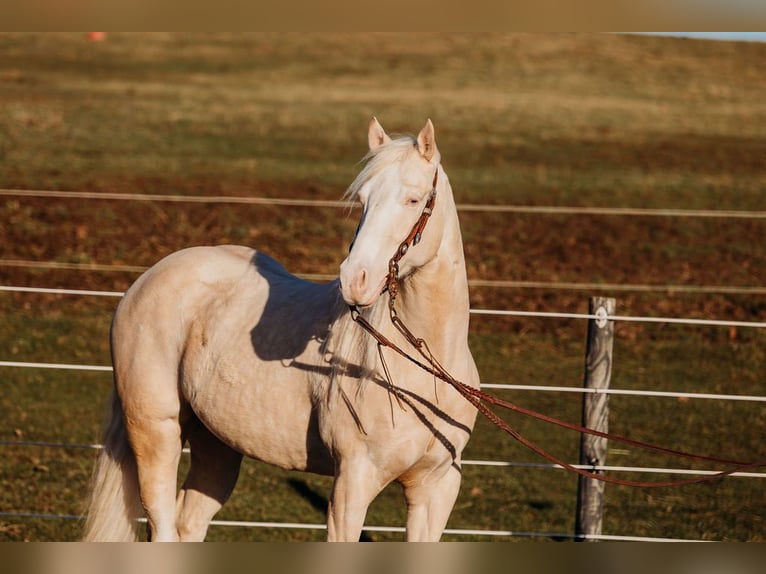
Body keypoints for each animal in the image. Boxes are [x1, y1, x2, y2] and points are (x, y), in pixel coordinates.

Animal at [81, 118, 480, 542]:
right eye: (363, 201)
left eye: (414, 200)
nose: (354, 280)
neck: (424, 376)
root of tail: (144, 281)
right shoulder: (352, 484)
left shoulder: (436, 489)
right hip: (156, 431)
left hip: (217, 446)